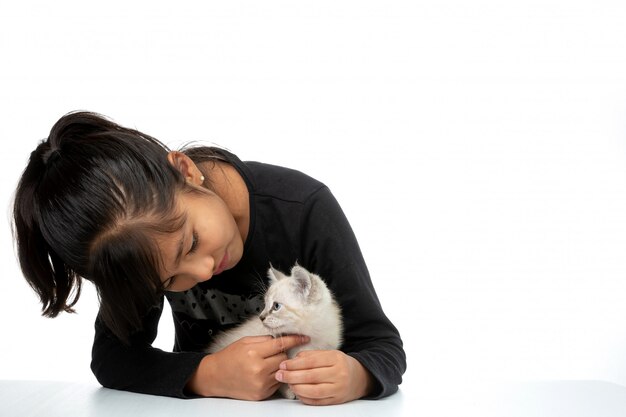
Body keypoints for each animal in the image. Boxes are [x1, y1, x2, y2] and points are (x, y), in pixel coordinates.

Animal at [205, 264, 342, 398]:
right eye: (265, 304)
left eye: (276, 306)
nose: (261, 317)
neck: (312, 338)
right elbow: (281, 382)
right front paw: (290, 392)